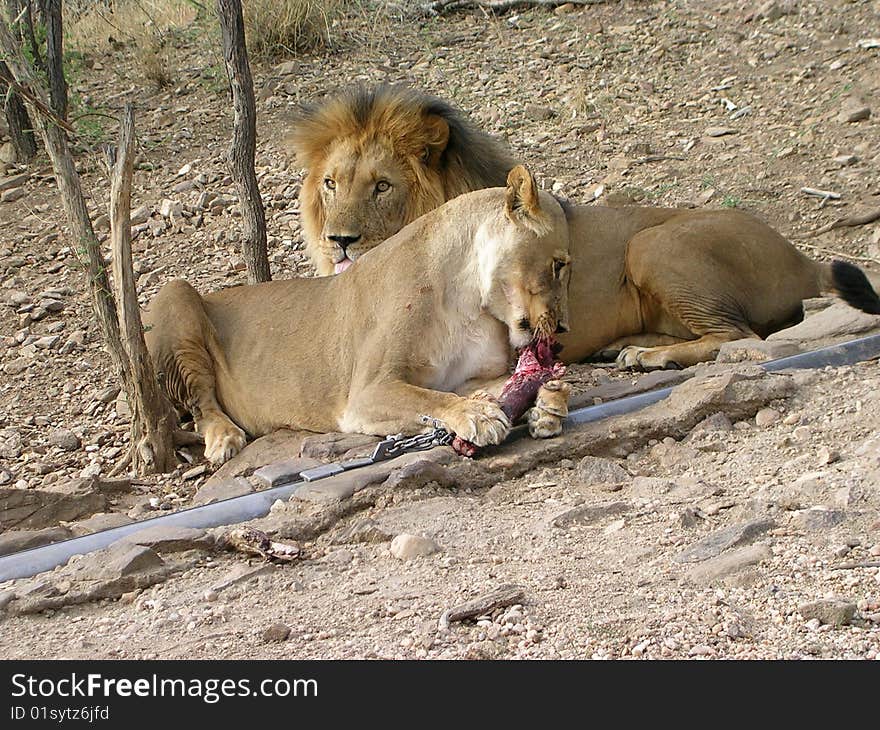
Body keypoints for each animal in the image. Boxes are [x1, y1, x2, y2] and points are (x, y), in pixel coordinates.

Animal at [144, 166, 572, 460]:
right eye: (559, 265)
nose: (564, 328)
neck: (469, 300)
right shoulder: (365, 393)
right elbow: (429, 399)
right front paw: (477, 415)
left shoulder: (468, 377)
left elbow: (496, 387)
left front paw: (549, 405)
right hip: (176, 293)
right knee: (201, 406)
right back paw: (224, 437)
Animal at [290, 86, 880, 370]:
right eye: (331, 184)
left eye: (381, 187)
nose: (338, 242)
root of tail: (802, 256)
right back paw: (629, 346)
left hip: (653, 242)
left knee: (738, 336)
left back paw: (650, 356)